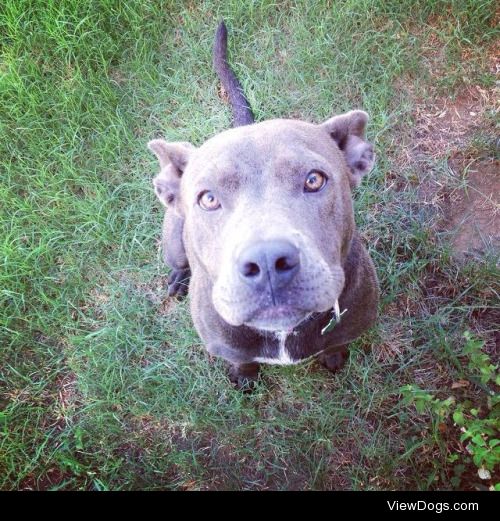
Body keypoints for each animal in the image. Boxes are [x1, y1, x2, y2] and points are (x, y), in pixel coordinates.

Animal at [148, 22, 378, 388]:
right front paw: (244, 378)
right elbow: (241, 361)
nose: (268, 262)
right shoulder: (226, 346)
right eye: (208, 198)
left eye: (314, 180)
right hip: (172, 241)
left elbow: (336, 343)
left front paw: (333, 357)